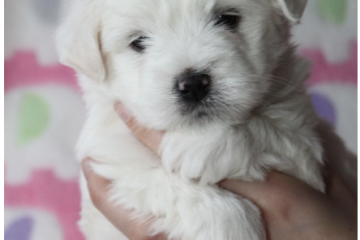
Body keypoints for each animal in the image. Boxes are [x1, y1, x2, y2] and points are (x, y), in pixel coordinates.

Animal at [55, 0, 326, 240]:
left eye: (227, 18)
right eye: (138, 42)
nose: (194, 85)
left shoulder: (302, 139)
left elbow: (273, 132)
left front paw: (202, 144)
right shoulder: (110, 157)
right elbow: (151, 180)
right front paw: (230, 227)